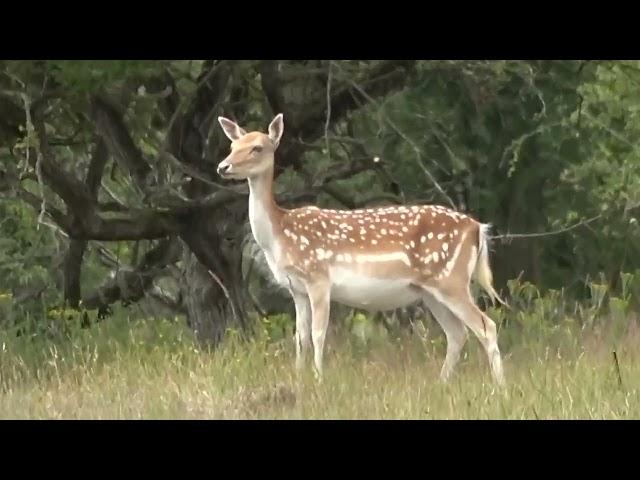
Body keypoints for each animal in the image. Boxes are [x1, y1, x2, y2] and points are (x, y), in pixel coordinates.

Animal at [218, 112, 508, 386]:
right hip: (429, 290)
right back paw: (442, 383)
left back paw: (500, 388)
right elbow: (300, 337)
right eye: (232, 145)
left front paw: (319, 380)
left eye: (257, 147)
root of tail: (477, 228)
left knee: (487, 326)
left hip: (451, 279)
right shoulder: (296, 288)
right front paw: (300, 379)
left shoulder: (318, 277)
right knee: (457, 333)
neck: (279, 236)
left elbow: (318, 334)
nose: (223, 166)